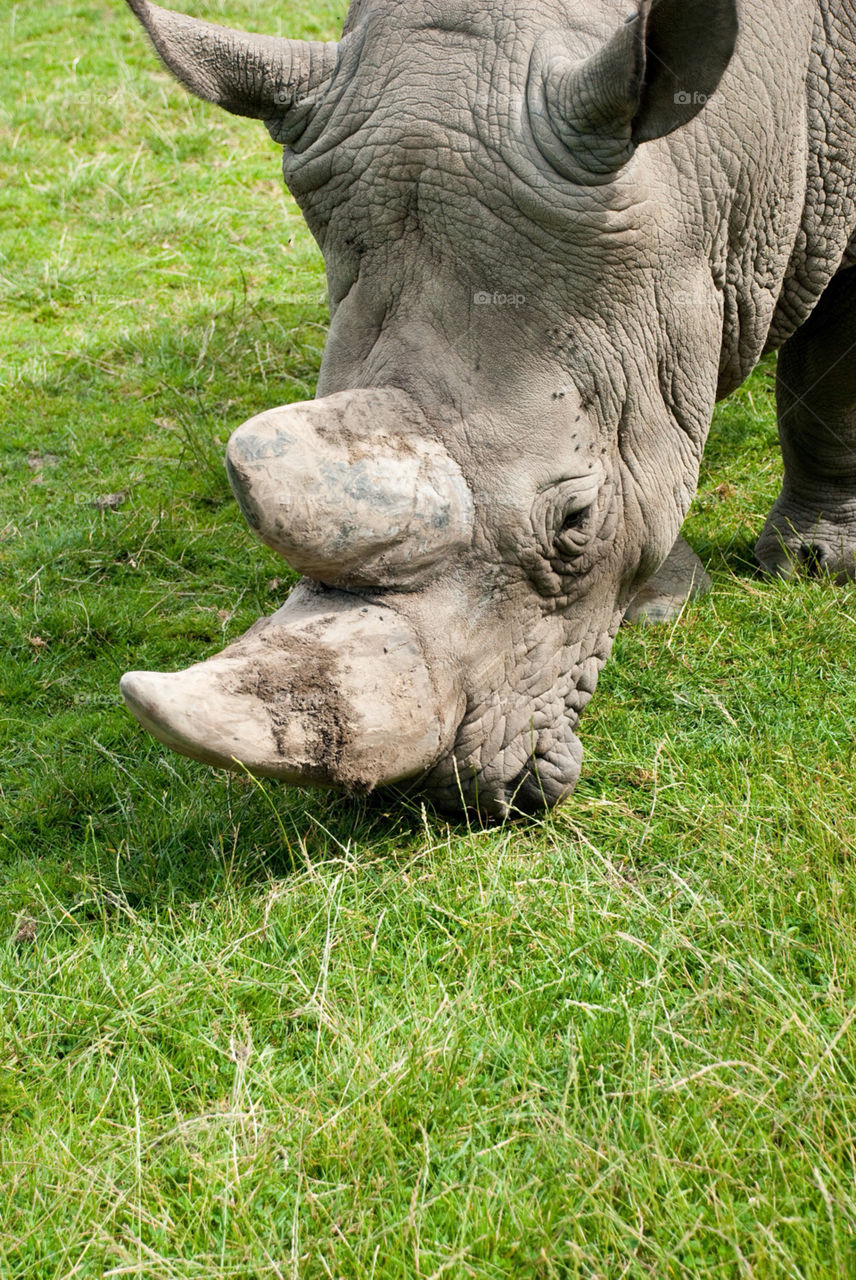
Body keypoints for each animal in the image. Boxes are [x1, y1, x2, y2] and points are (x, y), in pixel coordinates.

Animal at [118, 0, 854, 814]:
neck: (713, 159)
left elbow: (830, 373)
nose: (438, 798)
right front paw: (659, 603)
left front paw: (813, 566)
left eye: (576, 523)